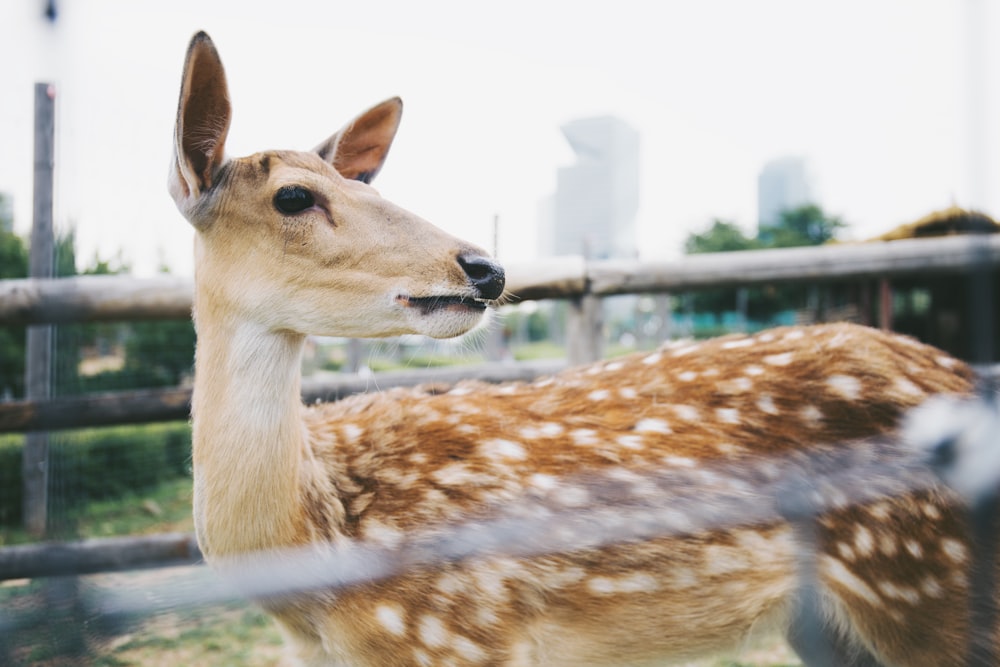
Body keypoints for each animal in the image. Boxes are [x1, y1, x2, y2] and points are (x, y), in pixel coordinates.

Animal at [172, 30, 992, 667]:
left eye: (367, 186)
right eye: (294, 196)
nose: (485, 267)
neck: (313, 595)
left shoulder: (465, 637)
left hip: (936, 588)